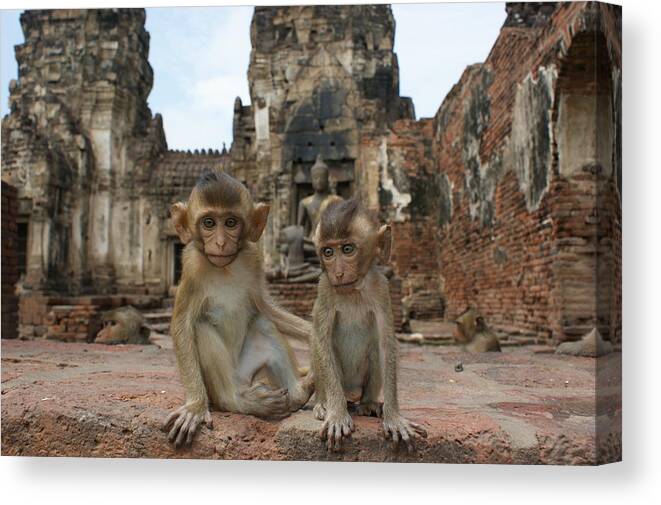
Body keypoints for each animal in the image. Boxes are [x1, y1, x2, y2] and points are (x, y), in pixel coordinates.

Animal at [162, 172, 312, 444]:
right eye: (209, 223)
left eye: (231, 222)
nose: (221, 243)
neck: (225, 267)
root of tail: (242, 383)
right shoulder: (191, 265)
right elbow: (182, 325)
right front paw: (195, 407)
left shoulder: (253, 258)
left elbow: (264, 307)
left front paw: (314, 333)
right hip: (221, 383)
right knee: (201, 328)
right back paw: (235, 401)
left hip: (248, 369)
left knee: (263, 323)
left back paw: (299, 393)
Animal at [308, 197, 426, 448]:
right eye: (328, 251)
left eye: (347, 249)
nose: (338, 273)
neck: (354, 289)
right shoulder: (325, 287)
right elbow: (321, 342)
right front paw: (337, 415)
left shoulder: (381, 288)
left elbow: (387, 344)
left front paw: (394, 417)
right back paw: (325, 404)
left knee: (375, 350)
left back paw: (369, 403)